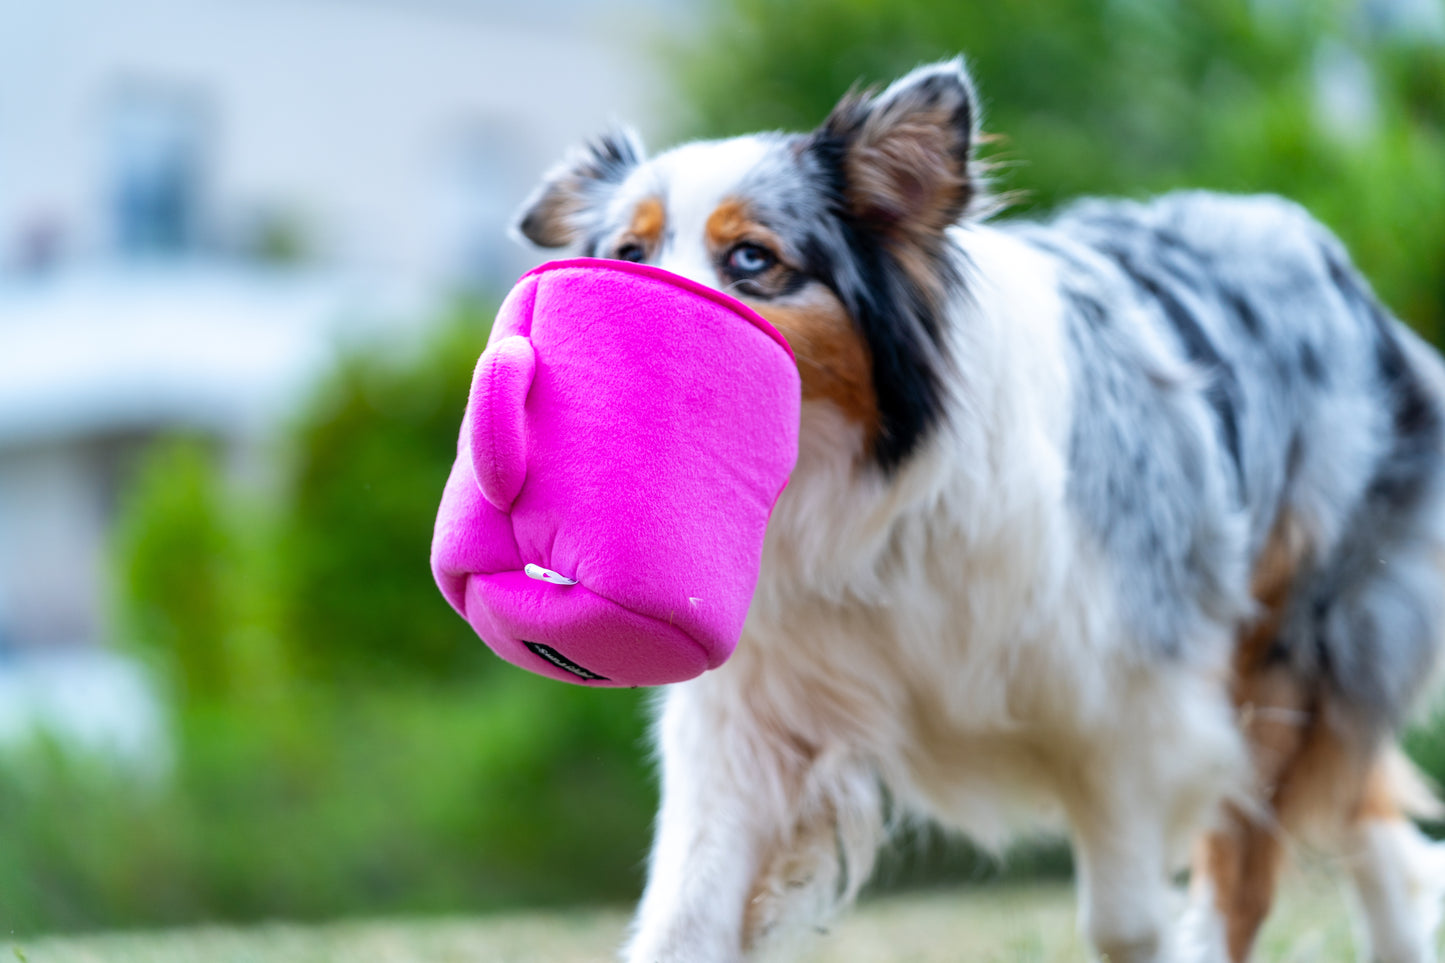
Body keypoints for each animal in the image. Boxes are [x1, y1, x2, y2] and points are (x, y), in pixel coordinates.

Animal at [508, 60, 1445, 960]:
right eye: (627, 248)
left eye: (749, 258)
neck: (869, 505)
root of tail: (1322, 256)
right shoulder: (753, 715)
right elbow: (683, 918)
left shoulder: (1127, 705)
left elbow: (1126, 920)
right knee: (1366, 814)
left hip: (1294, 648)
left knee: (1252, 863)